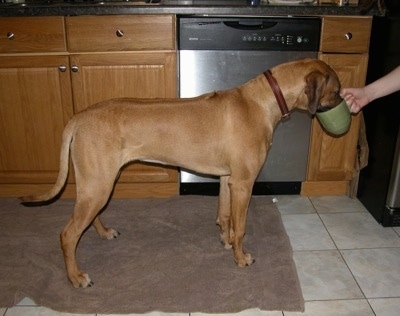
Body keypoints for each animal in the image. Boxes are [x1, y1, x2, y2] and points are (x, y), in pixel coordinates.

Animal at [21, 58, 340, 288]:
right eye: (336, 90)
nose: (344, 104)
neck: (263, 99)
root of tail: (79, 116)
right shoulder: (244, 183)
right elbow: (242, 227)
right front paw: (240, 257)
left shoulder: (228, 179)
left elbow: (225, 215)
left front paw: (225, 240)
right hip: (98, 183)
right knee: (67, 234)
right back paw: (76, 277)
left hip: (98, 182)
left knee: (89, 216)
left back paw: (104, 232)